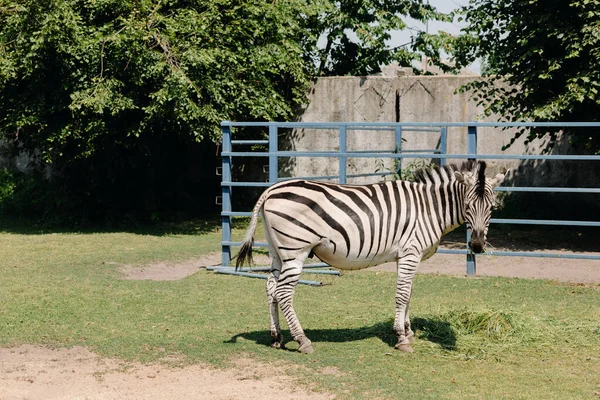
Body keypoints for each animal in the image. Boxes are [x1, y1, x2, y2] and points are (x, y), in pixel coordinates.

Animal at [234, 159, 506, 354]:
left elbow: (408, 293)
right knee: (284, 292)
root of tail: (271, 189)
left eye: (492, 208)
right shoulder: (410, 252)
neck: (430, 208)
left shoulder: (406, 255)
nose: (477, 246)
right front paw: (401, 338)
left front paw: (408, 331)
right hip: (296, 250)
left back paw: (277, 337)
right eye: (468, 206)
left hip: (277, 252)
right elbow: (402, 294)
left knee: (271, 287)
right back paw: (302, 341)